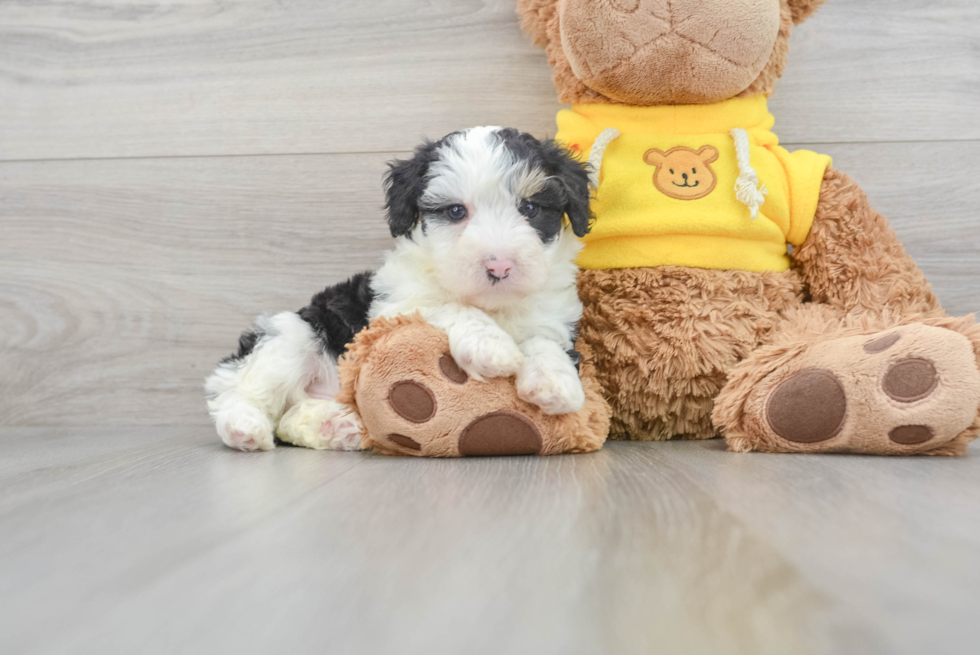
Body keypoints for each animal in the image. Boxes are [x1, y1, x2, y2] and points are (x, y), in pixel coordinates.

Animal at [203, 127, 592, 452]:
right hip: (291, 335)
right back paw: (244, 427)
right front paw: (490, 345)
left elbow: (544, 340)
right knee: (238, 389)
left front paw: (555, 382)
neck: (495, 306)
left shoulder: (552, 314)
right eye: (455, 211)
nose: (500, 266)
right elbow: (446, 305)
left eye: (530, 207)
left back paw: (338, 425)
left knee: (288, 417)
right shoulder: (393, 306)